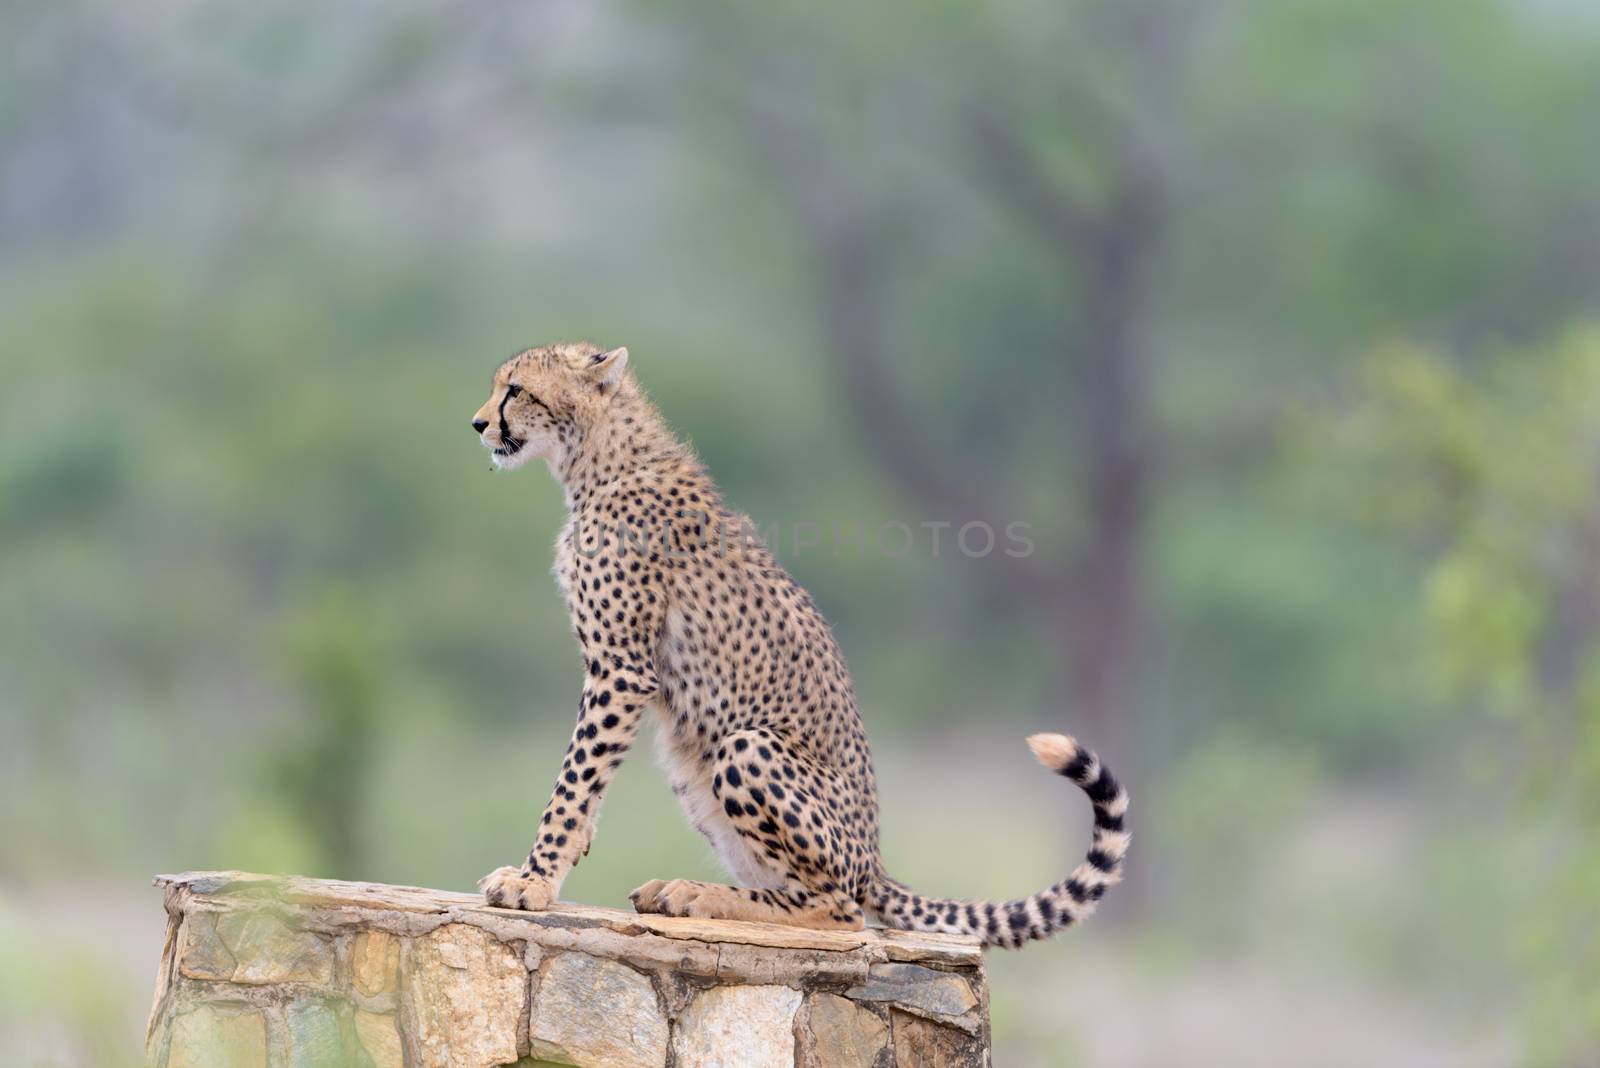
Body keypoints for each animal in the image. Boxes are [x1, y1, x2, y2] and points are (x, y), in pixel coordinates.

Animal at [467, 343, 1132, 952]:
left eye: (515, 390)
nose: (477, 424)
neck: (597, 461)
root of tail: (875, 861)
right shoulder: (618, 671)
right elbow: (586, 783)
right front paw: (559, 862)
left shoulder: (621, 670)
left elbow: (573, 782)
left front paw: (534, 881)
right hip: (694, 770)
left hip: (747, 746)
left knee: (839, 909)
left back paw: (697, 893)